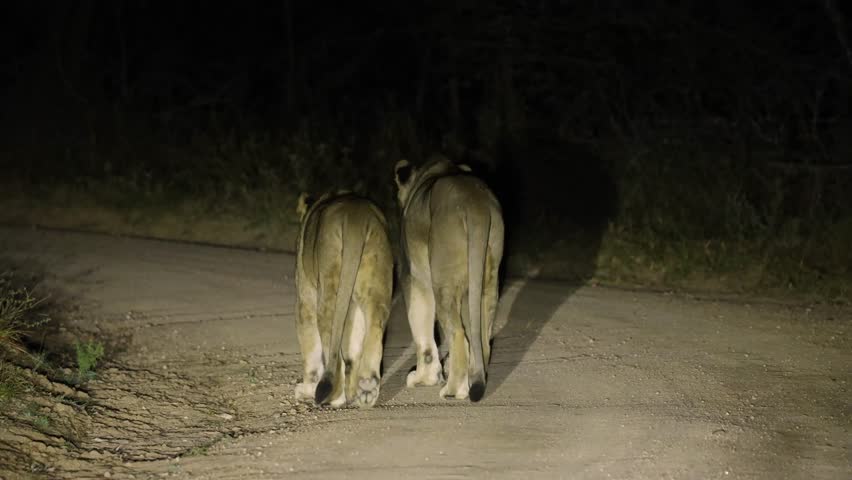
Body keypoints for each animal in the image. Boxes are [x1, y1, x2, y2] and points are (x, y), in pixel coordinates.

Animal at [293, 191, 393, 408]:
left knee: (331, 346)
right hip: (375, 281)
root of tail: (355, 215)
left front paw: (306, 388)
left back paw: (335, 397)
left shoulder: (305, 296)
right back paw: (366, 388)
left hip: (329, 287)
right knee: (374, 328)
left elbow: (310, 346)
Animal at [393, 155, 504, 402]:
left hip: (442, 281)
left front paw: (423, 378)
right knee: (482, 338)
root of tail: (475, 204)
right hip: (487, 277)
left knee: (459, 335)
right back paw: (471, 380)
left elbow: (422, 330)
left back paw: (454, 390)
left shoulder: (414, 277)